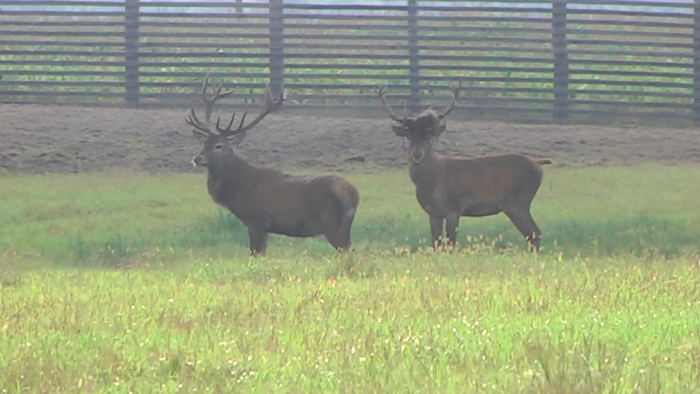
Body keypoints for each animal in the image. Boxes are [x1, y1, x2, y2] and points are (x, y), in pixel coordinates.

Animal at [187, 73, 360, 255]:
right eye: (204, 143)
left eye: (218, 146)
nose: (197, 158)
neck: (239, 187)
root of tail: (355, 194)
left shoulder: (257, 220)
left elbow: (256, 253)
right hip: (343, 227)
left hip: (333, 226)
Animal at [374, 83, 556, 252]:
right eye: (409, 136)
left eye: (428, 136)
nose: (416, 154)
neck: (431, 181)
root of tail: (537, 163)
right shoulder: (433, 212)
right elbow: (436, 243)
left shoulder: (453, 208)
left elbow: (451, 242)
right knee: (533, 233)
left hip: (519, 202)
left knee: (534, 232)